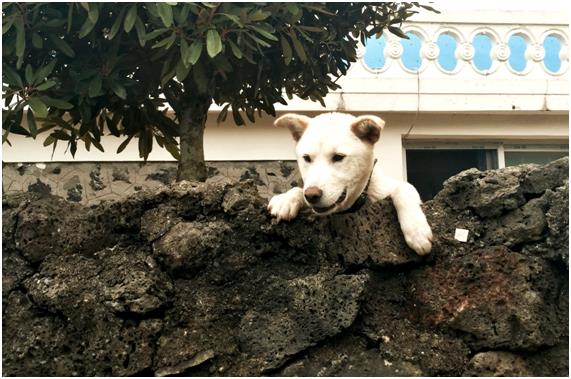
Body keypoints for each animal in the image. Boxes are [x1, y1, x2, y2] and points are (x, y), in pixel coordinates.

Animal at [268, 113, 434, 255]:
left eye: (338, 157)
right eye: (307, 158)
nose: (312, 195)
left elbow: (405, 187)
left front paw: (416, 230)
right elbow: (298, 189)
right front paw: (286, 199)